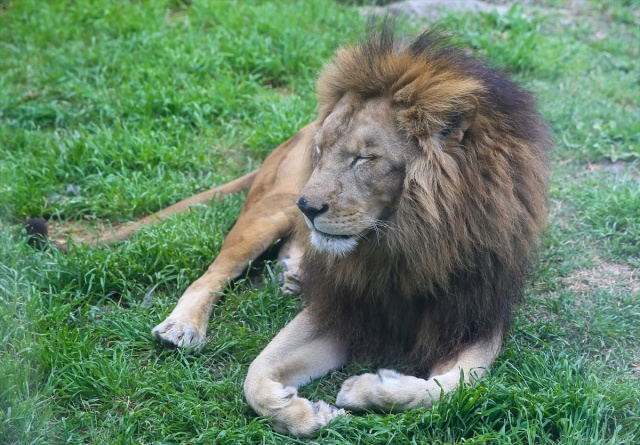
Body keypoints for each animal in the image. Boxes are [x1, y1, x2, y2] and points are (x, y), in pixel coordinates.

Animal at [27, 26, 552, 434]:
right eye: (323, 151)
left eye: (364, 158)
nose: (308, 206)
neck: (403, 245)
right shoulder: (343, 306)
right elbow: (255, 375)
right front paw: (306, 413)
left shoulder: (476, 317)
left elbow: (448, 388)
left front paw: (366, 388)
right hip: (268, 212)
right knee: (213, 273)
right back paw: (184, 325)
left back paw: (295, 271)